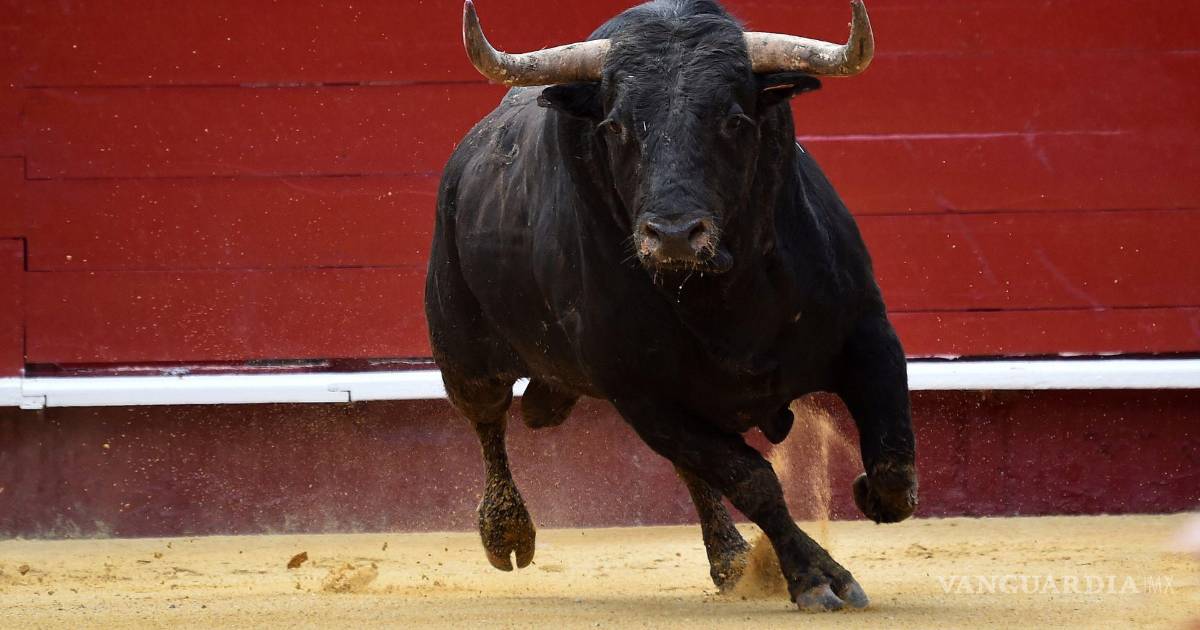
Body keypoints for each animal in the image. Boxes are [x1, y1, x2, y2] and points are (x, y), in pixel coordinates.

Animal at [425, 0, 918, 612]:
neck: (724, 295)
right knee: (488, 421)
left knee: (691, 471)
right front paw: (815, 575)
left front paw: (867, 495)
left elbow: (892, 460)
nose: (676, 235)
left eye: (735, 121)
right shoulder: (643, 395)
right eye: (614, 127)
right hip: (464, 352)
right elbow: (752, 480)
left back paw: (730, 559)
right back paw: (507, 534)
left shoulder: (869, 333)